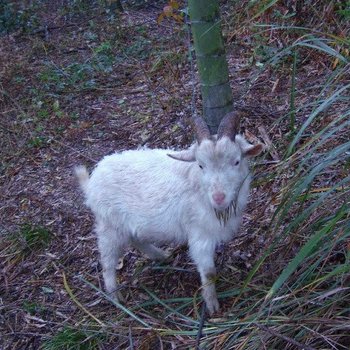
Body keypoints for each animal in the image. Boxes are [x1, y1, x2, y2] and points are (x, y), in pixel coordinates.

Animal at [76, 113, 262, 314]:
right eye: (200, 165)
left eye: (236, 161)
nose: (218, 198)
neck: (198, 187)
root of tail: (92, 181)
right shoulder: (199, 234)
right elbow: (209, 273)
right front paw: (212, 305)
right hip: (109, 226)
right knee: (108, 261)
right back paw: (114, 295)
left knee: (136, 239)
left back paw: (161, 255)